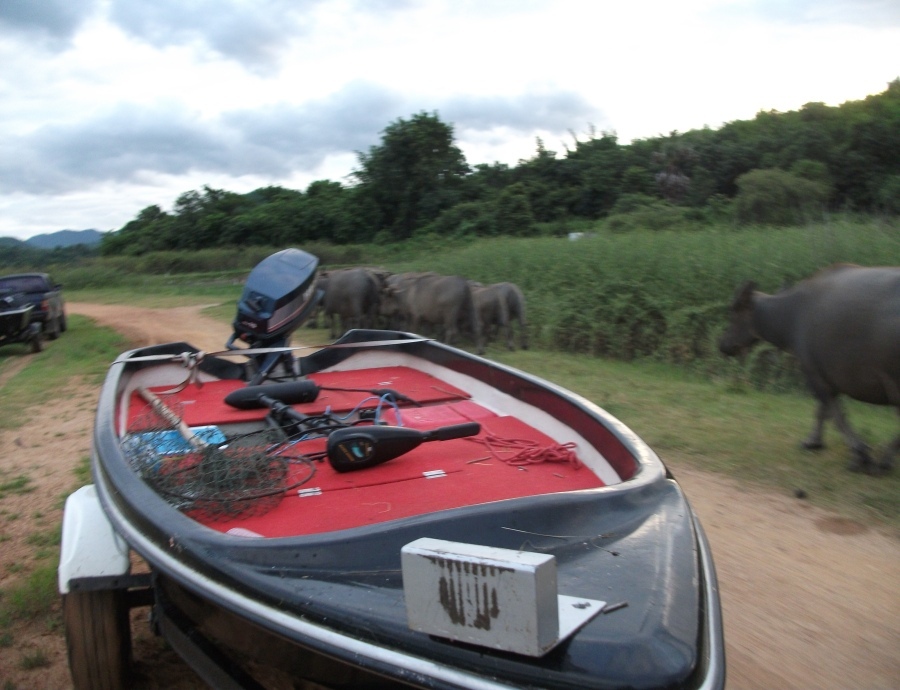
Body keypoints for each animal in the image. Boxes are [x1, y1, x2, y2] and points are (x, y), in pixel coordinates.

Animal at [720, 264, 900, 472]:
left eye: (733, 312)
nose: (722, 344)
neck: (790, 313)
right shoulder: (824, 375)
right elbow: (823, 411)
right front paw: (813, 442)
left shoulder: (813, 372)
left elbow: (835, 413)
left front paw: (860, 454)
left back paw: (885, 459)